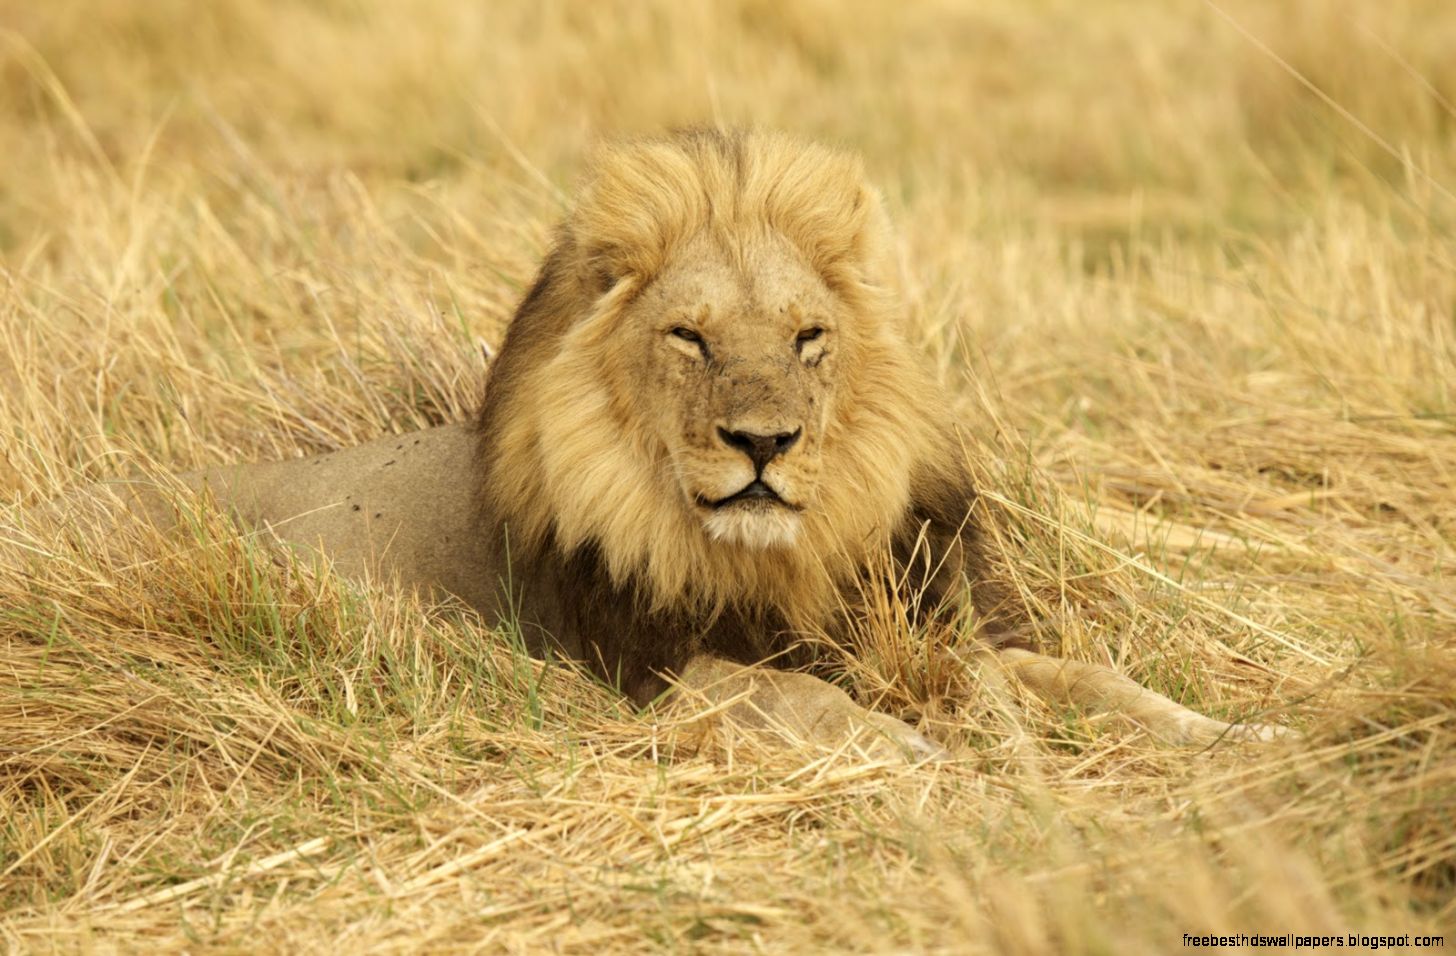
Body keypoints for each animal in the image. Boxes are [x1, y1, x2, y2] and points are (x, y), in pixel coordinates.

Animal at [117, 129, 1283, 759]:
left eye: (808, 338)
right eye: (690, 337)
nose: (763, 441)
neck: (782, 557)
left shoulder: (928, 616)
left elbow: (1087, 677)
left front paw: (1236, 734)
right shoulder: (633, 666)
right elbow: (775, 688)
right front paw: (901, 742)